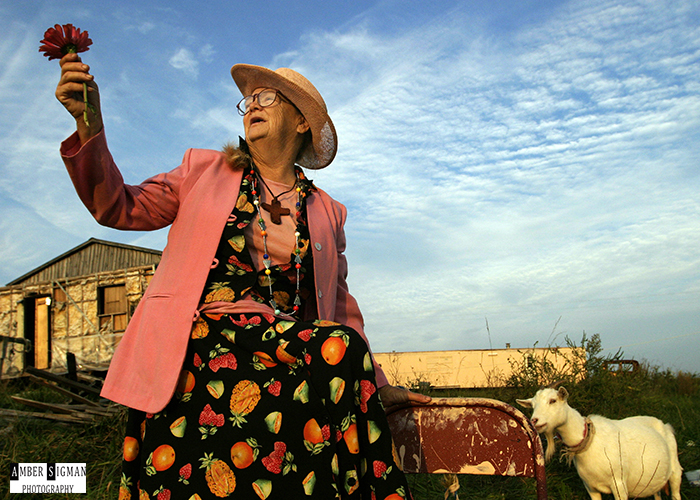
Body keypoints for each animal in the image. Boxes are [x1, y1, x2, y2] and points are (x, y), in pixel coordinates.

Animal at [516, 386, 680, 496]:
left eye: (553, 400)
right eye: (532, 405)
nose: (535, 420)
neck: (590, 440)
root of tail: (664, 425)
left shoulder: (619, 484)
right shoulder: (590, 487)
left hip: (675, 471)